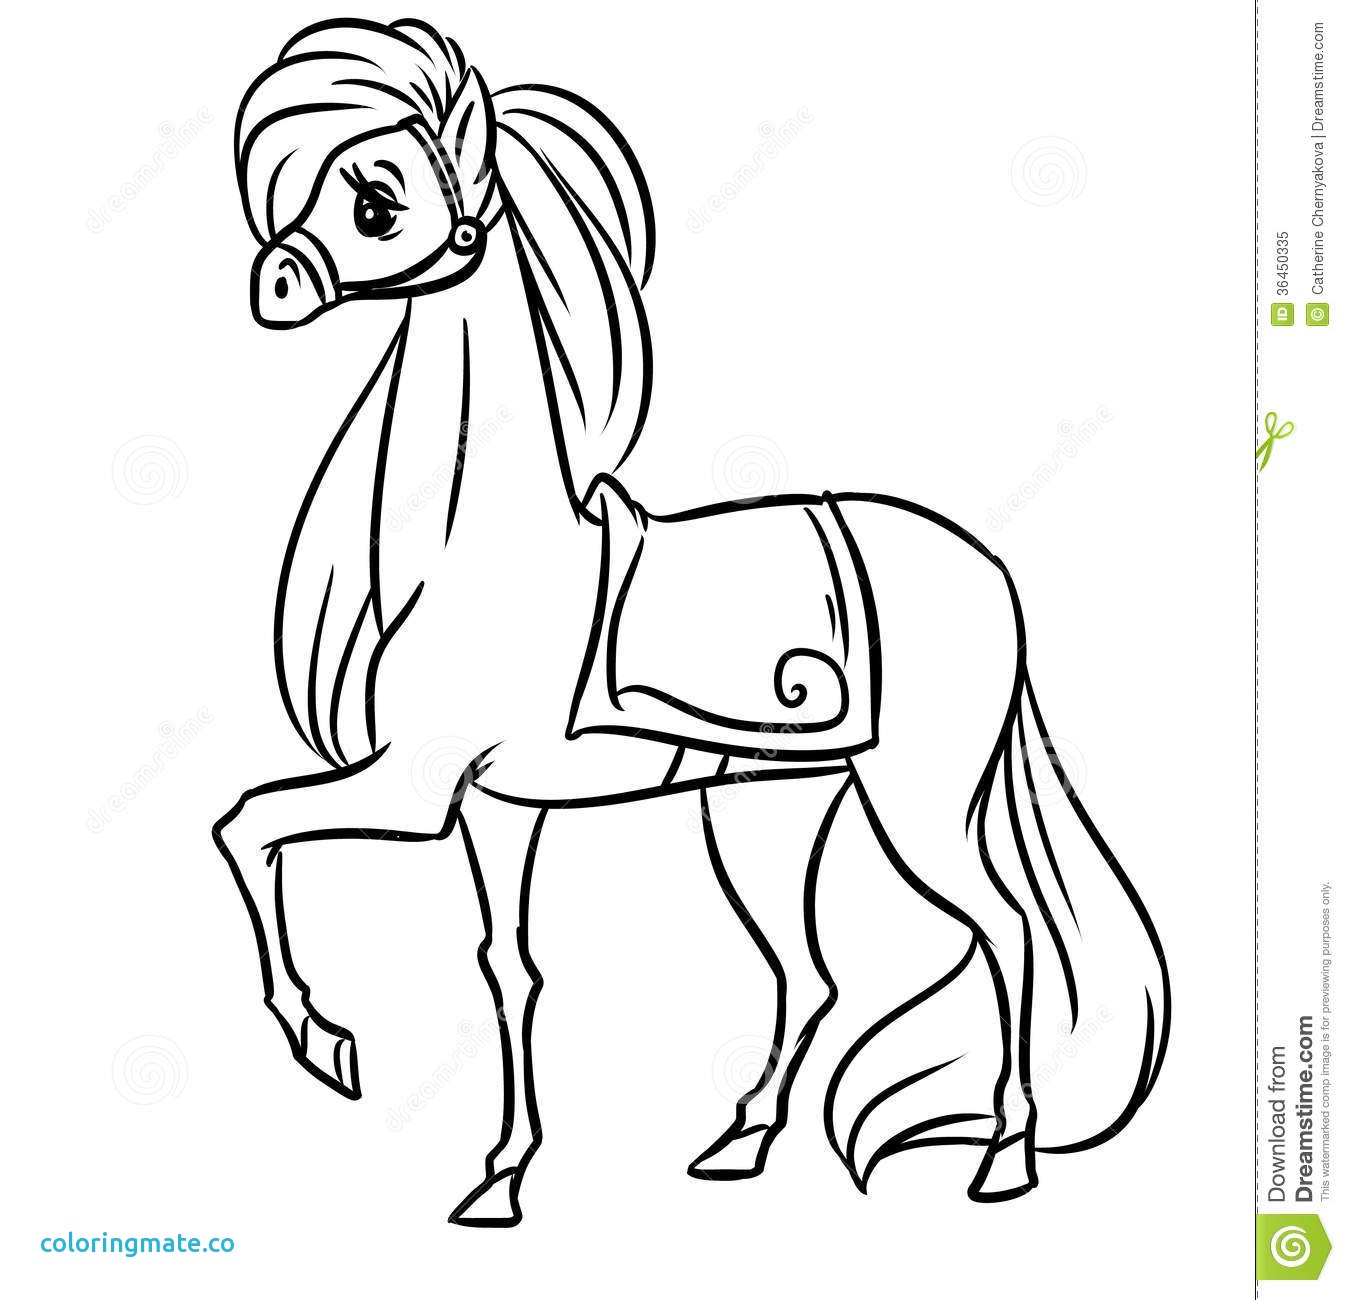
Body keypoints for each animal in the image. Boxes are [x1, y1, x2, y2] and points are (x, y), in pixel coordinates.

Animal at [216, 17, 1171, 1227]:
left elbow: (247, 825)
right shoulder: (493, 807)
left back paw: (1004, 1160)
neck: (483, 538)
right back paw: (738, 1143)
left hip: (917, 801)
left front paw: (325, 1041)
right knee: (812, 974)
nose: (275, 281)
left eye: (377, 205)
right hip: (766, 810)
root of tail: (982, 566)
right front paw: (499, 1176)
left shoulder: (416, 786)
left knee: (1005, 932)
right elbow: (506, 966)